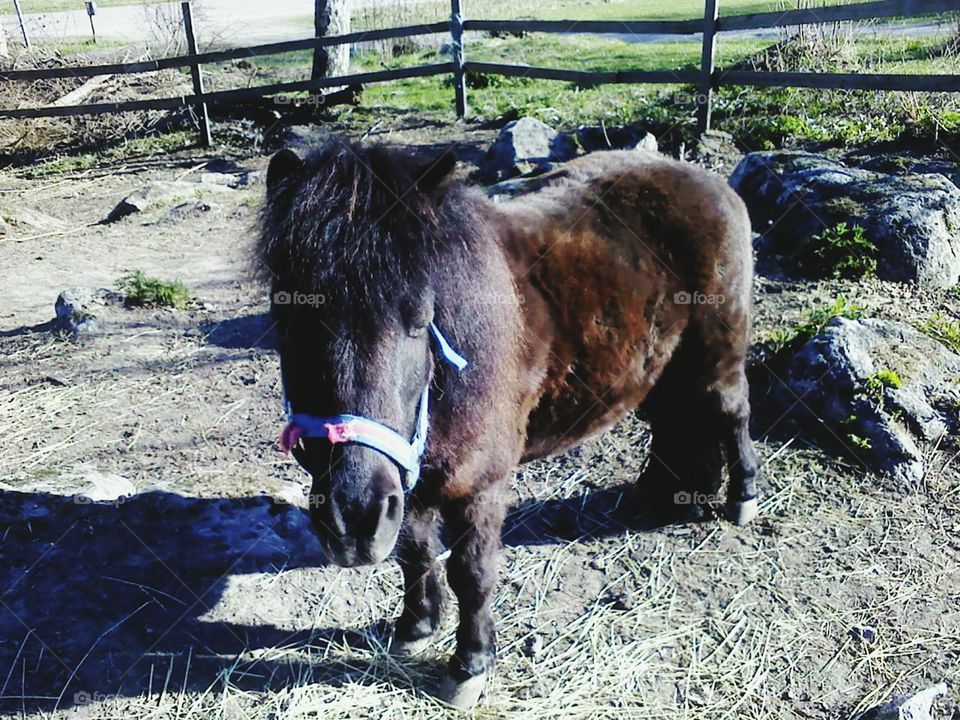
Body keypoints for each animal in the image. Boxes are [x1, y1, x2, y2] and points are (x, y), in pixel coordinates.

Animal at [256, 137, 760, 708]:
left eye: (418, 320)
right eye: (287, 318)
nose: (353, 520)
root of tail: (709, 180)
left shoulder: (480, 486)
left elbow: (471, 573)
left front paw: (469, 665)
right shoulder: (409, 484)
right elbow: (415, 552)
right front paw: (416, 627)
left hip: (717, 353)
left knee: (731, 411)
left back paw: (740, 495)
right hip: (656, 367)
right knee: (673, 422)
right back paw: (664, 495)